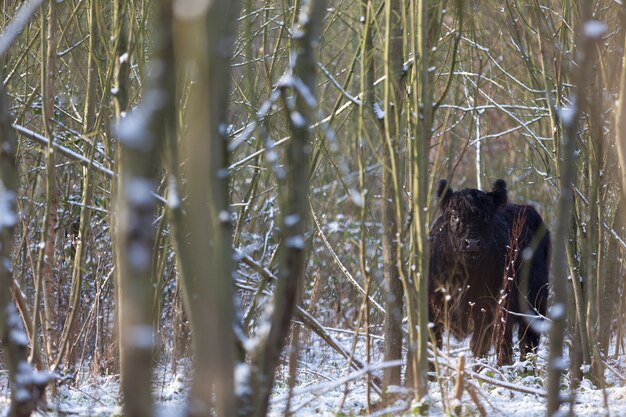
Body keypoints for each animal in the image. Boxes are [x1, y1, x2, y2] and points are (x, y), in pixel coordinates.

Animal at [428, 179, 544, 364]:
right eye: (454, 216)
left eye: (487, 217)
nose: (472, 243)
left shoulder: (486, 310)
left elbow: (479, 347)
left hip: (533, 305)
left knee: (523, 344)